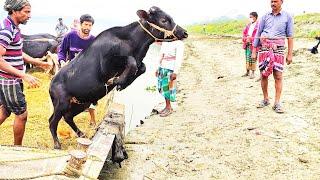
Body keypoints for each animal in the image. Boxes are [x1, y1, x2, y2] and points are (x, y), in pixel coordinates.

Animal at [49, 6, 189, 156]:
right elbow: (131, 63)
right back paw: (57, 144)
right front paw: (115, 81)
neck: (131, 43)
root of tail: (52, 83)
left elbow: (142, 67)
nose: (184, 32)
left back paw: (82, 134)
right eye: (163, 20)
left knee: (68, 117)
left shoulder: (138, 62)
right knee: (52, 121)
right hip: (61, 103)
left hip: (82, 102)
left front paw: (121, 83)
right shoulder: (107, 63)